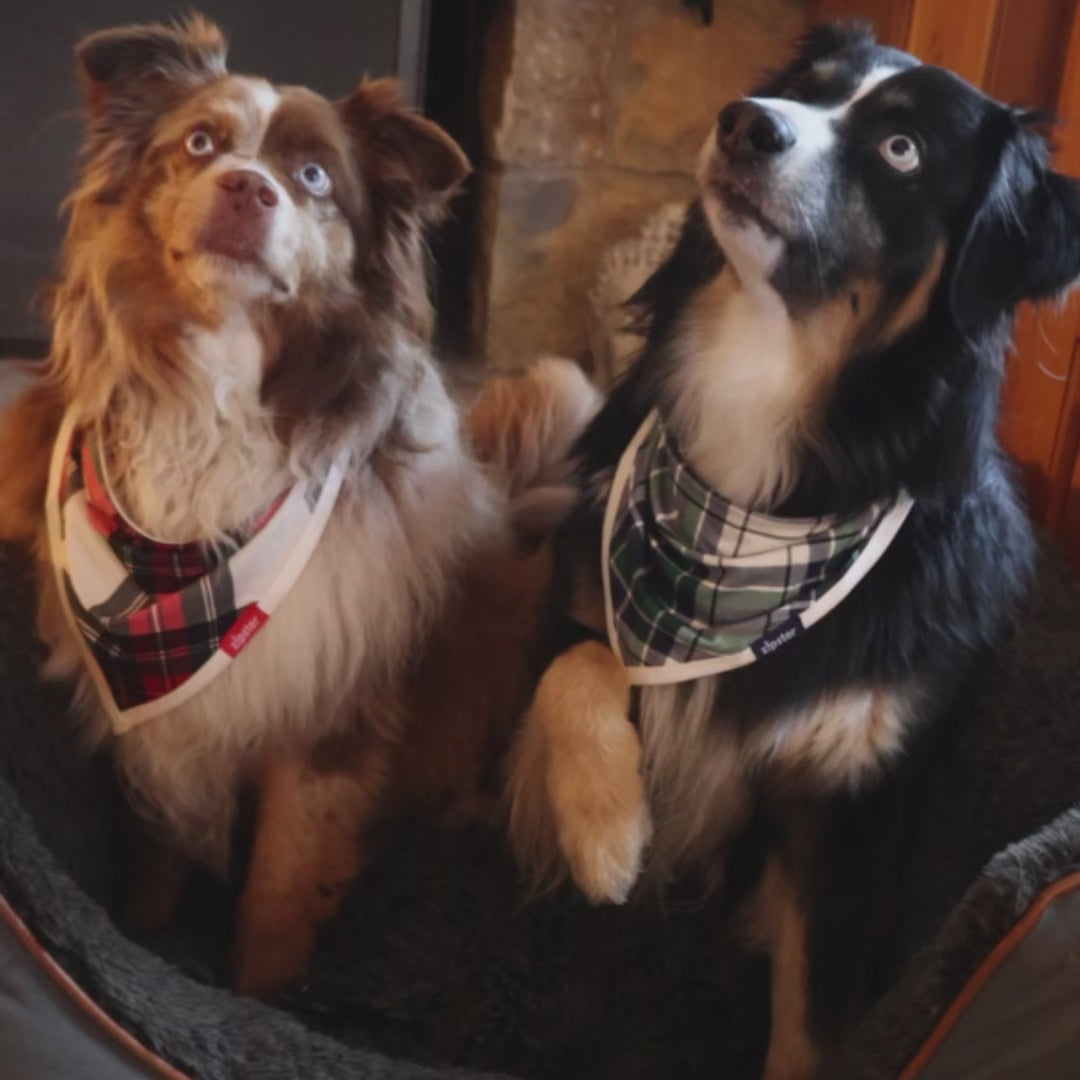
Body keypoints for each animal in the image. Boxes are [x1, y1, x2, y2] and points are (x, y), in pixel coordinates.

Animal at [0, 15, 597, 998]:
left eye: (315, 176)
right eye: (200, 145)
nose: (248, 187)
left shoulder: (331, 713)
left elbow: (280, 885)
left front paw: (257, 992)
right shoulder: (165, 712)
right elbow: (159, 837)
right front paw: (147, 931)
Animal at [507, 22, 1080, 1079]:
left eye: (901, 150)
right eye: (806, 89)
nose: (744, 122)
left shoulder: (850, 807)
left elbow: (813, 1021)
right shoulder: (564, 607)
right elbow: (580, 665)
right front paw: (607, 833)